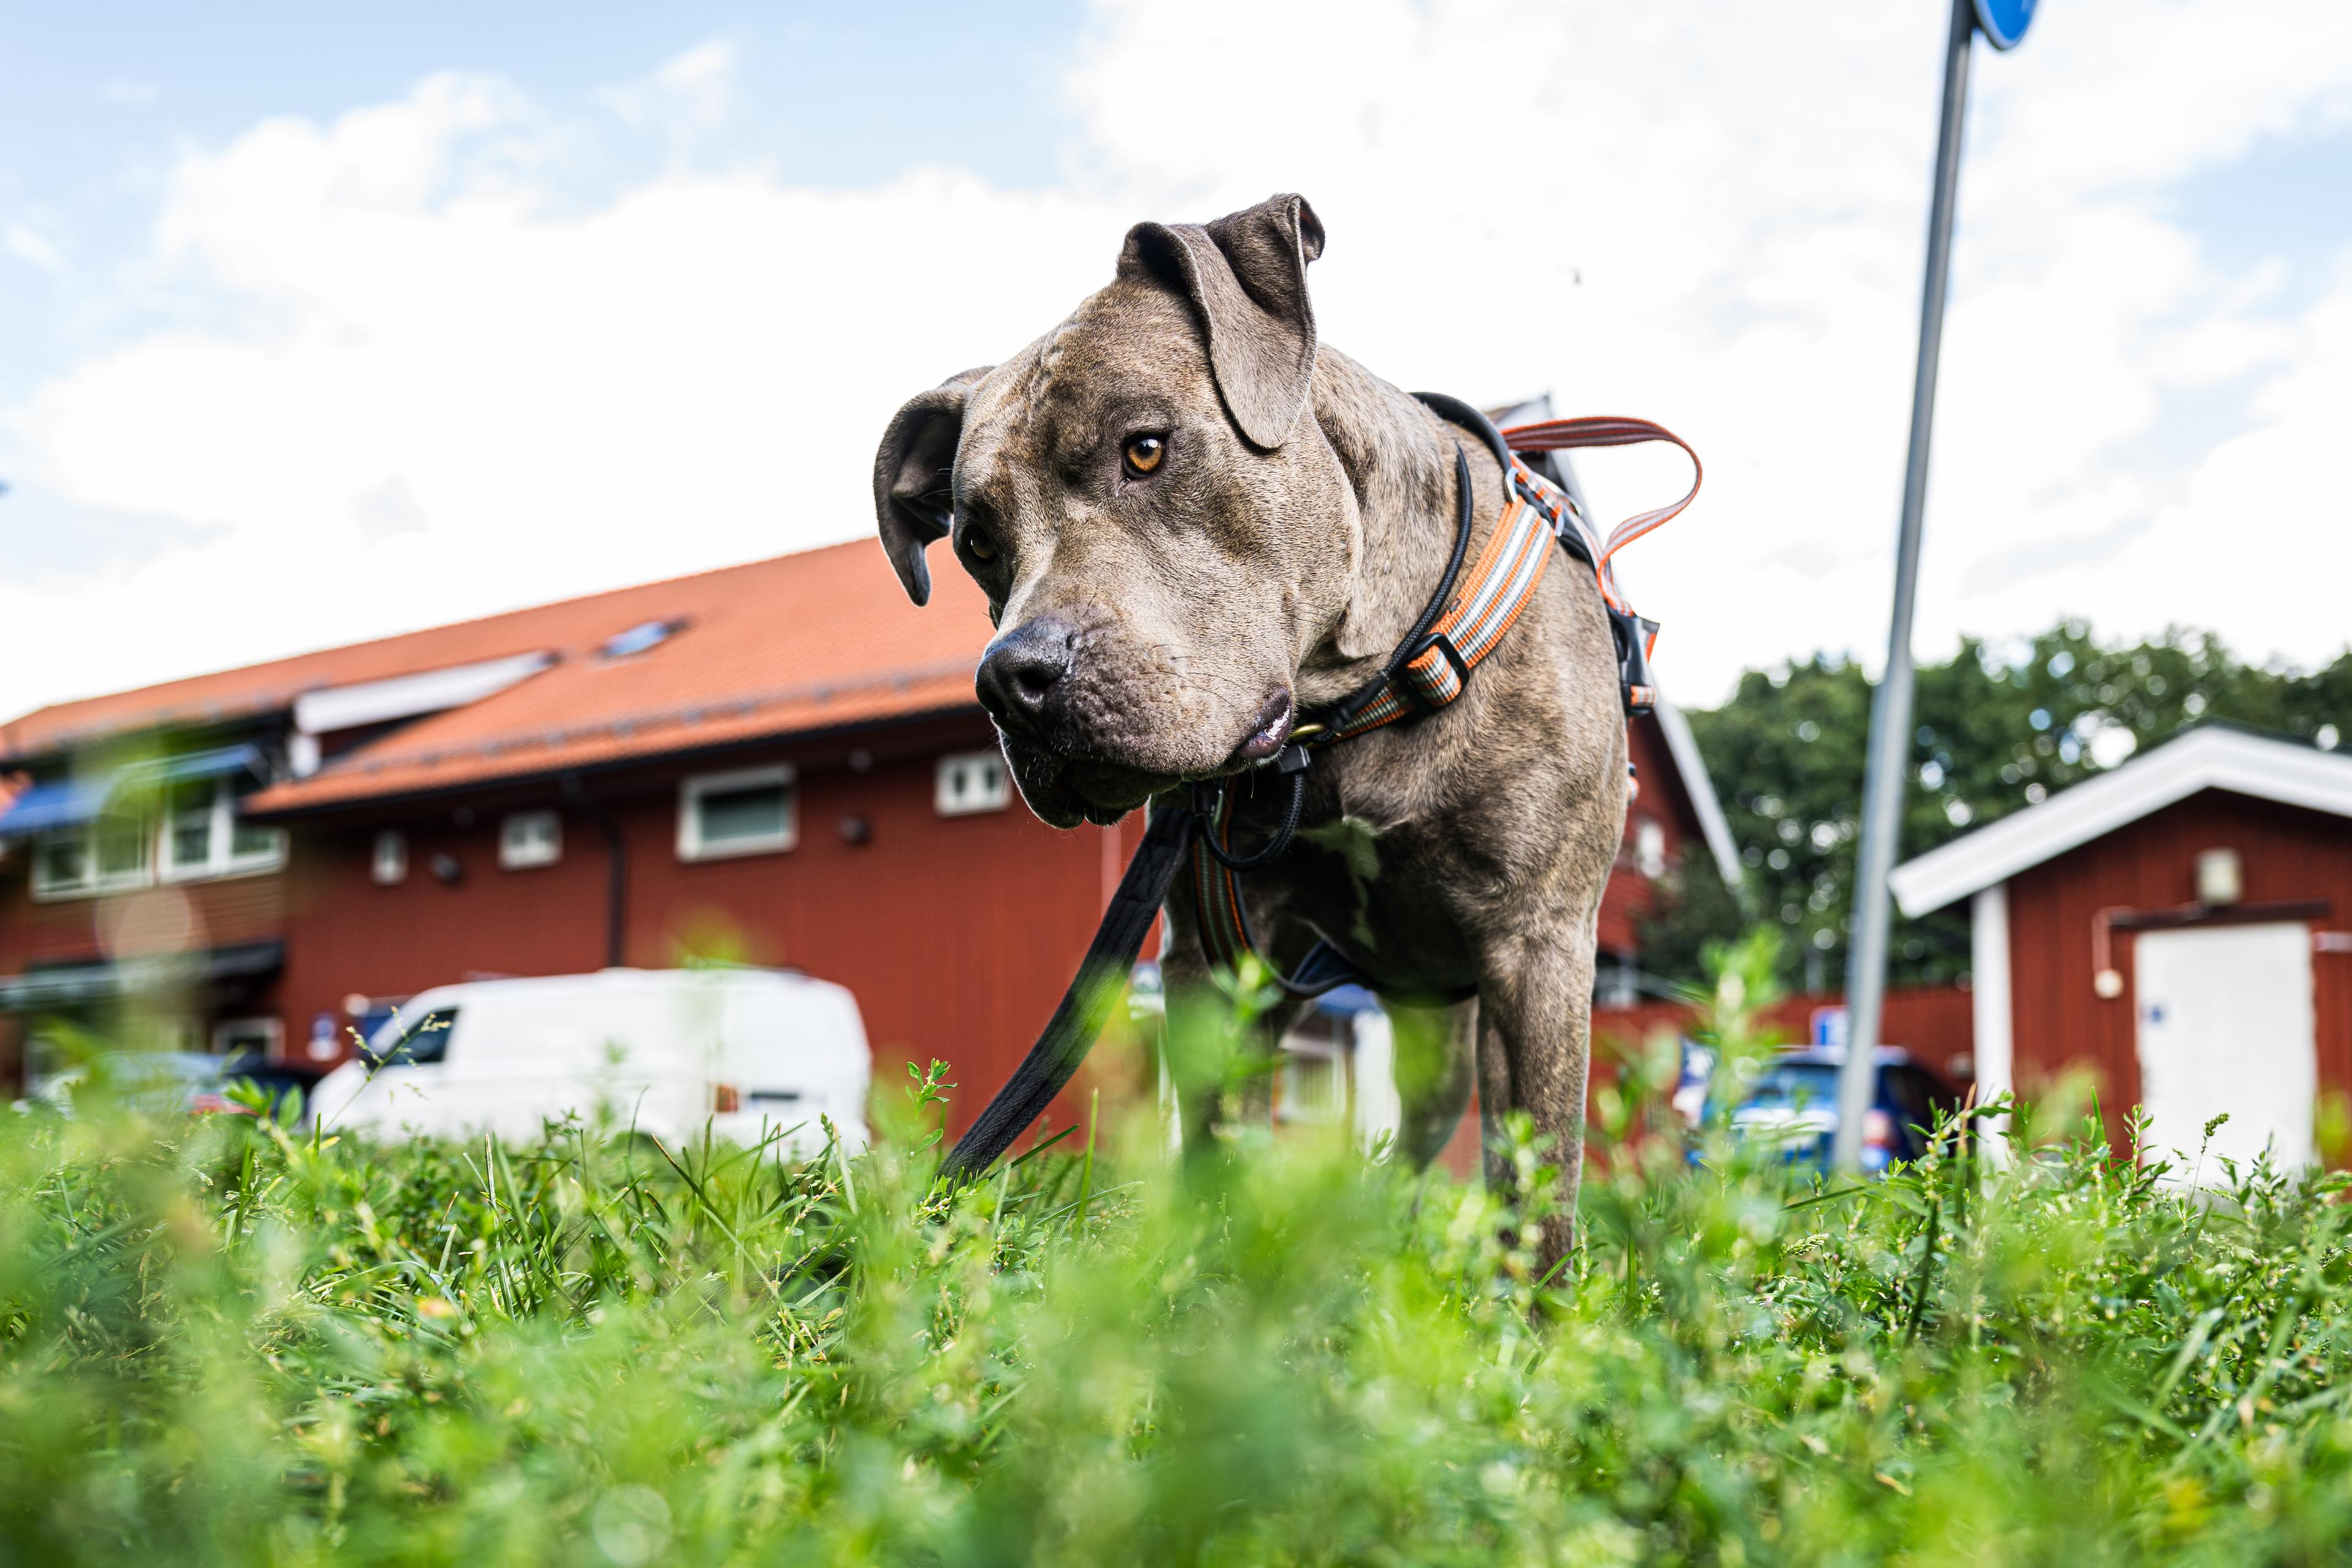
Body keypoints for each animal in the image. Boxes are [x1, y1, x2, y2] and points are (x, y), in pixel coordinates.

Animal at [875, 192, 1627, 1260]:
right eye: (977, 542)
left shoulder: (1540, 948)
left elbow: (1538, 1188)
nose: (1012, 680)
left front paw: (1538, 1309)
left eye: (1145, 448)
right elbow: (1216, 1144)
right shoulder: (1215, 961)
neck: (1350, 717)